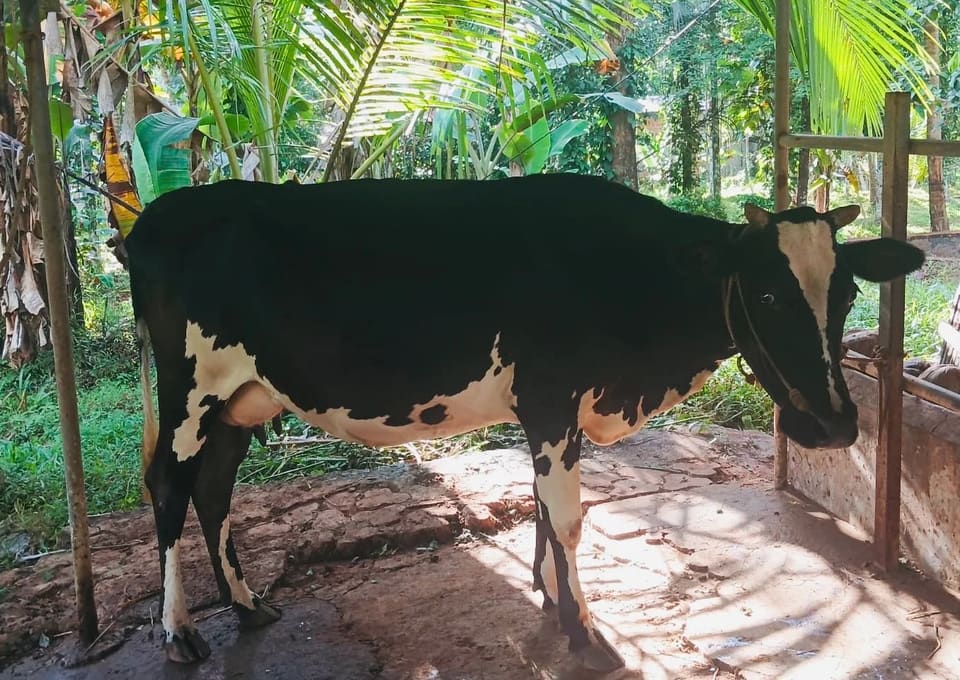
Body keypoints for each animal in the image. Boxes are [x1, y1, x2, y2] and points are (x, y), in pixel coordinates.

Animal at [125, 173, 924, 672]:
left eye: (848, 294)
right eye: (765, 293)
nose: (834, 426)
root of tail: (153, 218)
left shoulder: (553, 409)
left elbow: (546, 506)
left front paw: (549, 595)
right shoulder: (549, 398)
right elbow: (568, 516)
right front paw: (585, 631)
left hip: (241, 398)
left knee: (214, 490)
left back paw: (247, 605)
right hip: (190, 388)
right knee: (168, 487)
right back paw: (180, 630)